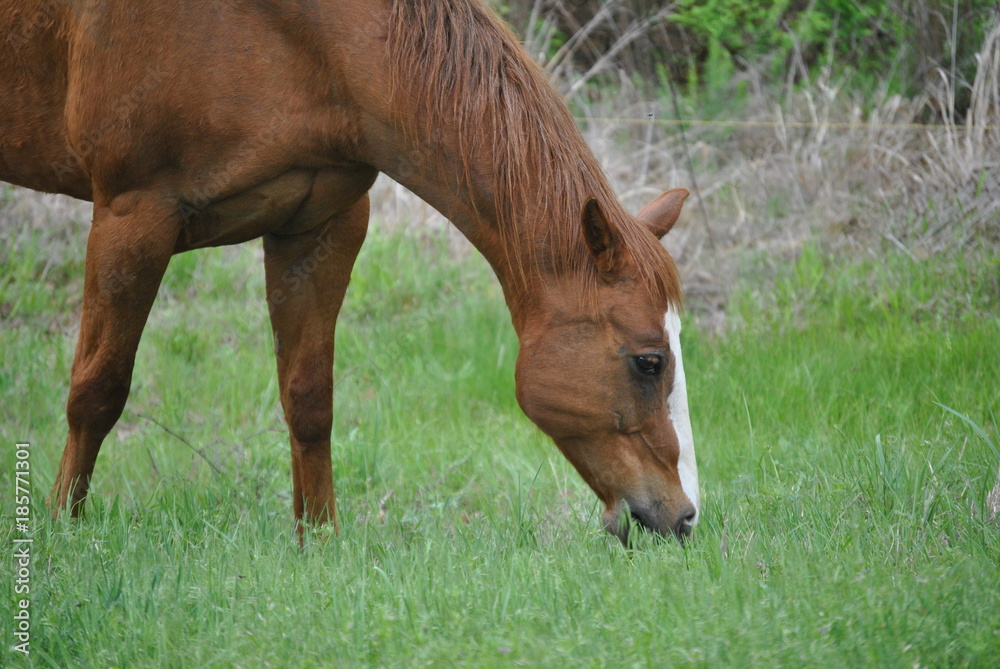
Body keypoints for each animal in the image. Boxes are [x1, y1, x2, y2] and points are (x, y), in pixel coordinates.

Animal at [0, 0, 700, 543]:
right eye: (649, 362)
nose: (687, 516)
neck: (296, 33)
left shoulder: (320, 225)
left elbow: (310, 400)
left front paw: (321, 541)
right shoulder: (132, 217)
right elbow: (98, 391)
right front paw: (63, 530)